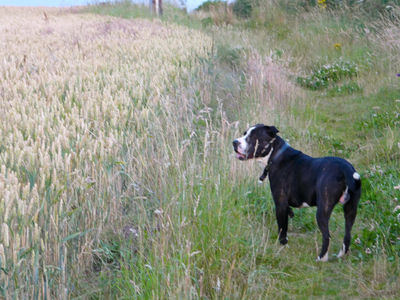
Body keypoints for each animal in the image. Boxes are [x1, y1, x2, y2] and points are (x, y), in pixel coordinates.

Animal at [233, 123, 360, 260]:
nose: (234, 142)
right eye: (244, 133)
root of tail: (346, 170)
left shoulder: (280, 203)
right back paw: (341, 255)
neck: (275, 154)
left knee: (327, 236)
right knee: (347, 234)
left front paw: (282, 245)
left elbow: (282, 228)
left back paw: (321, 258)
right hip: (350, 210)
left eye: (252, 137)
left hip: (322, 211)